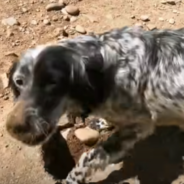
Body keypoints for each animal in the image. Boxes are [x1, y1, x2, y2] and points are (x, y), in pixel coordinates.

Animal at [5, 26, 184, 184]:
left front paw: (72, 179)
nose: (14, 129)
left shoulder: (139, 124)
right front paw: (103, 122)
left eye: (52, 82)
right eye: (19, 81)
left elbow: (90, 156)